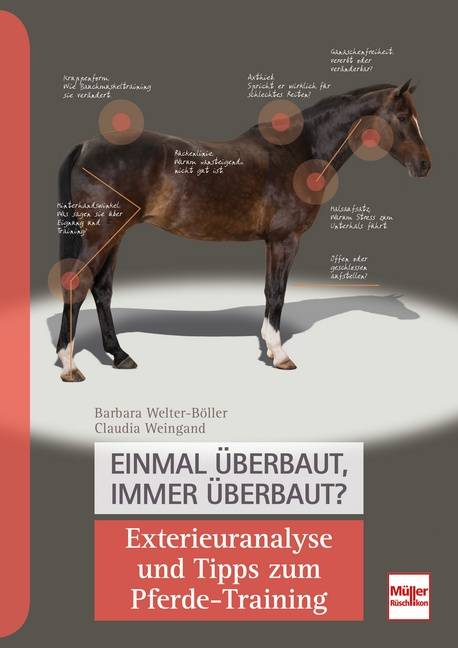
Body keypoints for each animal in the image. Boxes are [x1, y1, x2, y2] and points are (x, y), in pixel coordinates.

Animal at [56, 79, 431, 381]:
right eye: (402, 117)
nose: (425, 165)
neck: (298, 153)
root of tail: (85, 146)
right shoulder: (285, 240)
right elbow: (277, 293)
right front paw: (280, 355)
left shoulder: (272, 243)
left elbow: (269, 291)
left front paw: (270, 348)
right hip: (101, 236)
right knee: (78, 284)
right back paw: (70, 366)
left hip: (115, 236)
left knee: (102, 290)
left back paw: (119, 356)